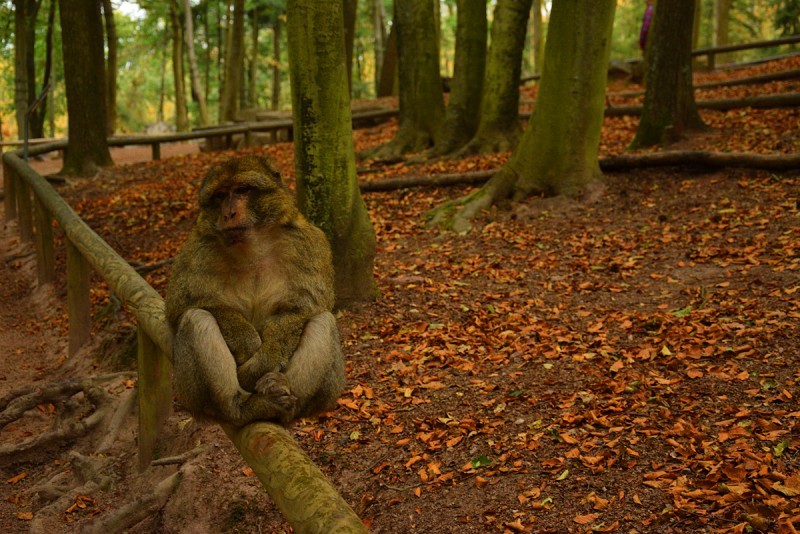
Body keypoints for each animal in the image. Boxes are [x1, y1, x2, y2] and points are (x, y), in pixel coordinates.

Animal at [166, 155, 344, 428]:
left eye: (242, 190)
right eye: (220, 195)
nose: (228, 213)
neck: (252, 245)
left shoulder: (308, 241)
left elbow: (306, 306)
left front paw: (263, 361)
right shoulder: (197, 248)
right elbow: (181, 306)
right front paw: (247, 344)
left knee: (323, 321)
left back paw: (282, 392)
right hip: (192, 397)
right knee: (196, 318)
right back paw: (241, 407)